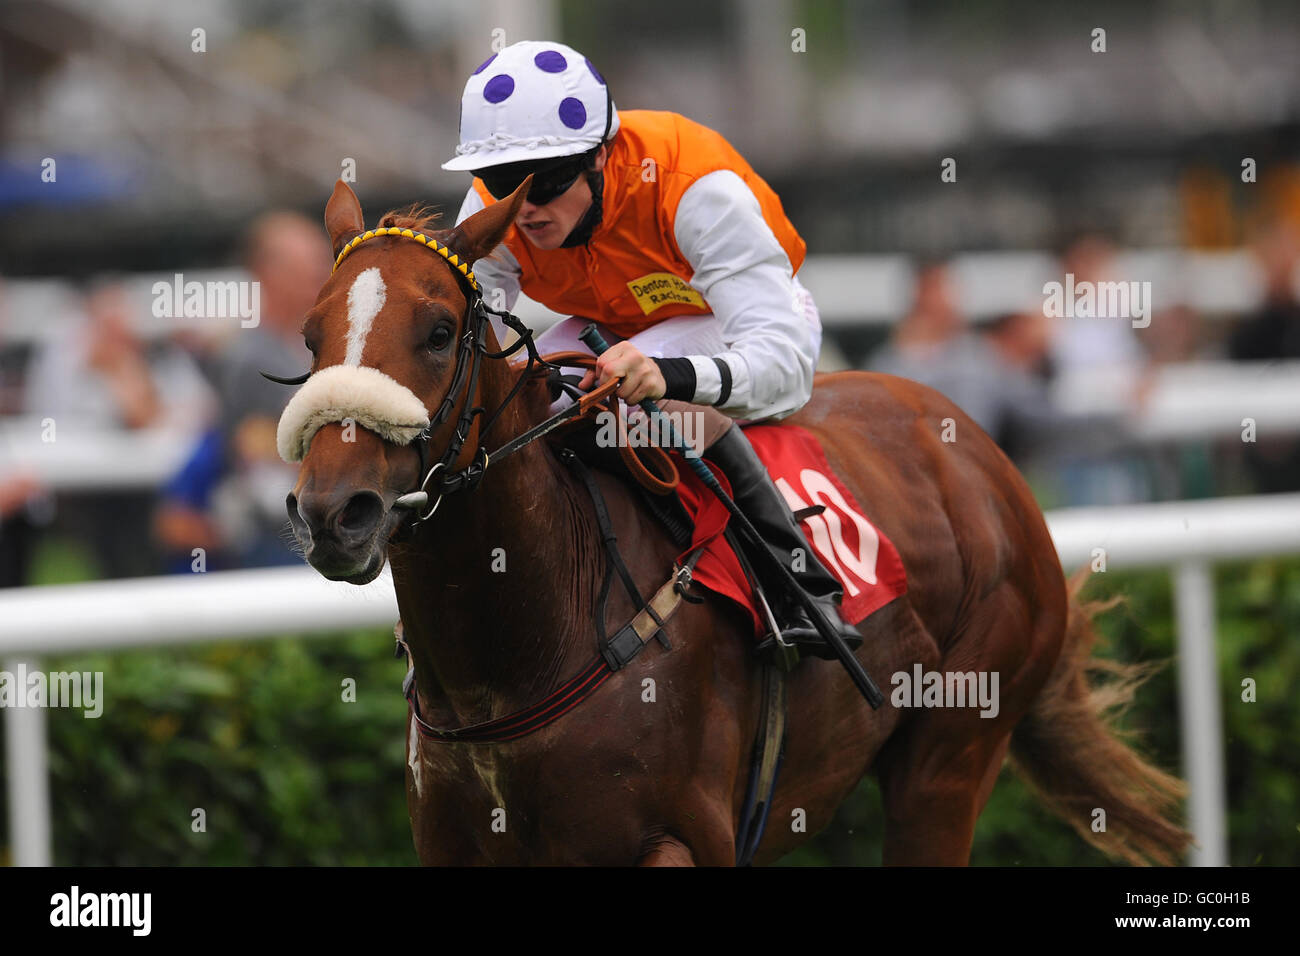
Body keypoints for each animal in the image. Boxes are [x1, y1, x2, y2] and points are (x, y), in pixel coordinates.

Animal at [279, 179, 1190, 868]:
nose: (334, 513)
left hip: (951, 754)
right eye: (311, 335)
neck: (519, 659)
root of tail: (984, 459)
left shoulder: (684, 840)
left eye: (438, 332)